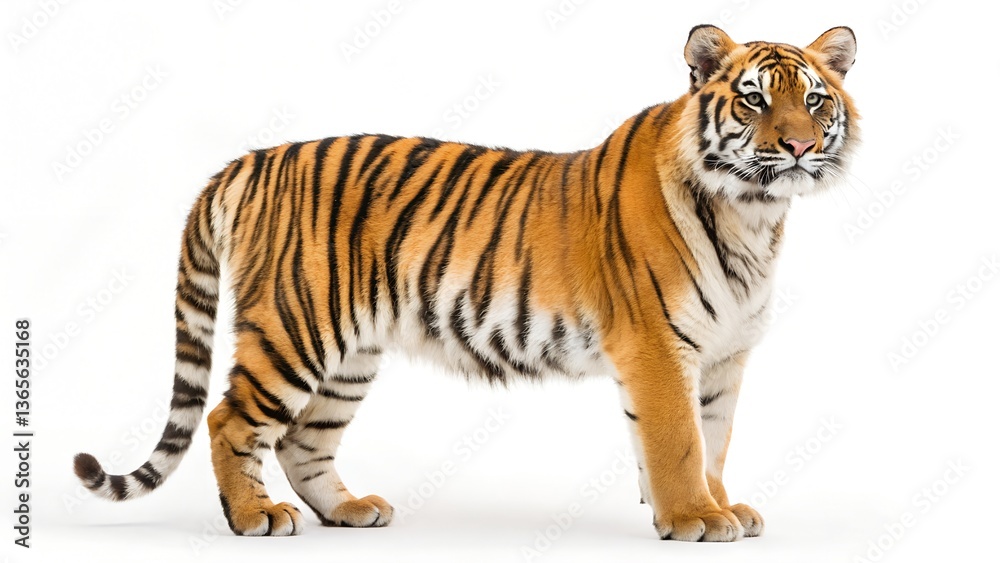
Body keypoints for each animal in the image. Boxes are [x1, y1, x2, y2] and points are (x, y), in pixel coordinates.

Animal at [74, 25, 858, 541]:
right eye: (754, 100)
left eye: (815, 101)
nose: (798, 145)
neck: (753, 212)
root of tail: (250, 159)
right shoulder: (659, 348)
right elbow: (678, 441)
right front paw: (695, 517)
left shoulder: (724, 356)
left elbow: (714, 438)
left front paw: (724, 506)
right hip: (292, 331)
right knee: (228, 418)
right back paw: (254, 516)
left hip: (350, 355)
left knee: (303, 440)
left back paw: (349, 510)